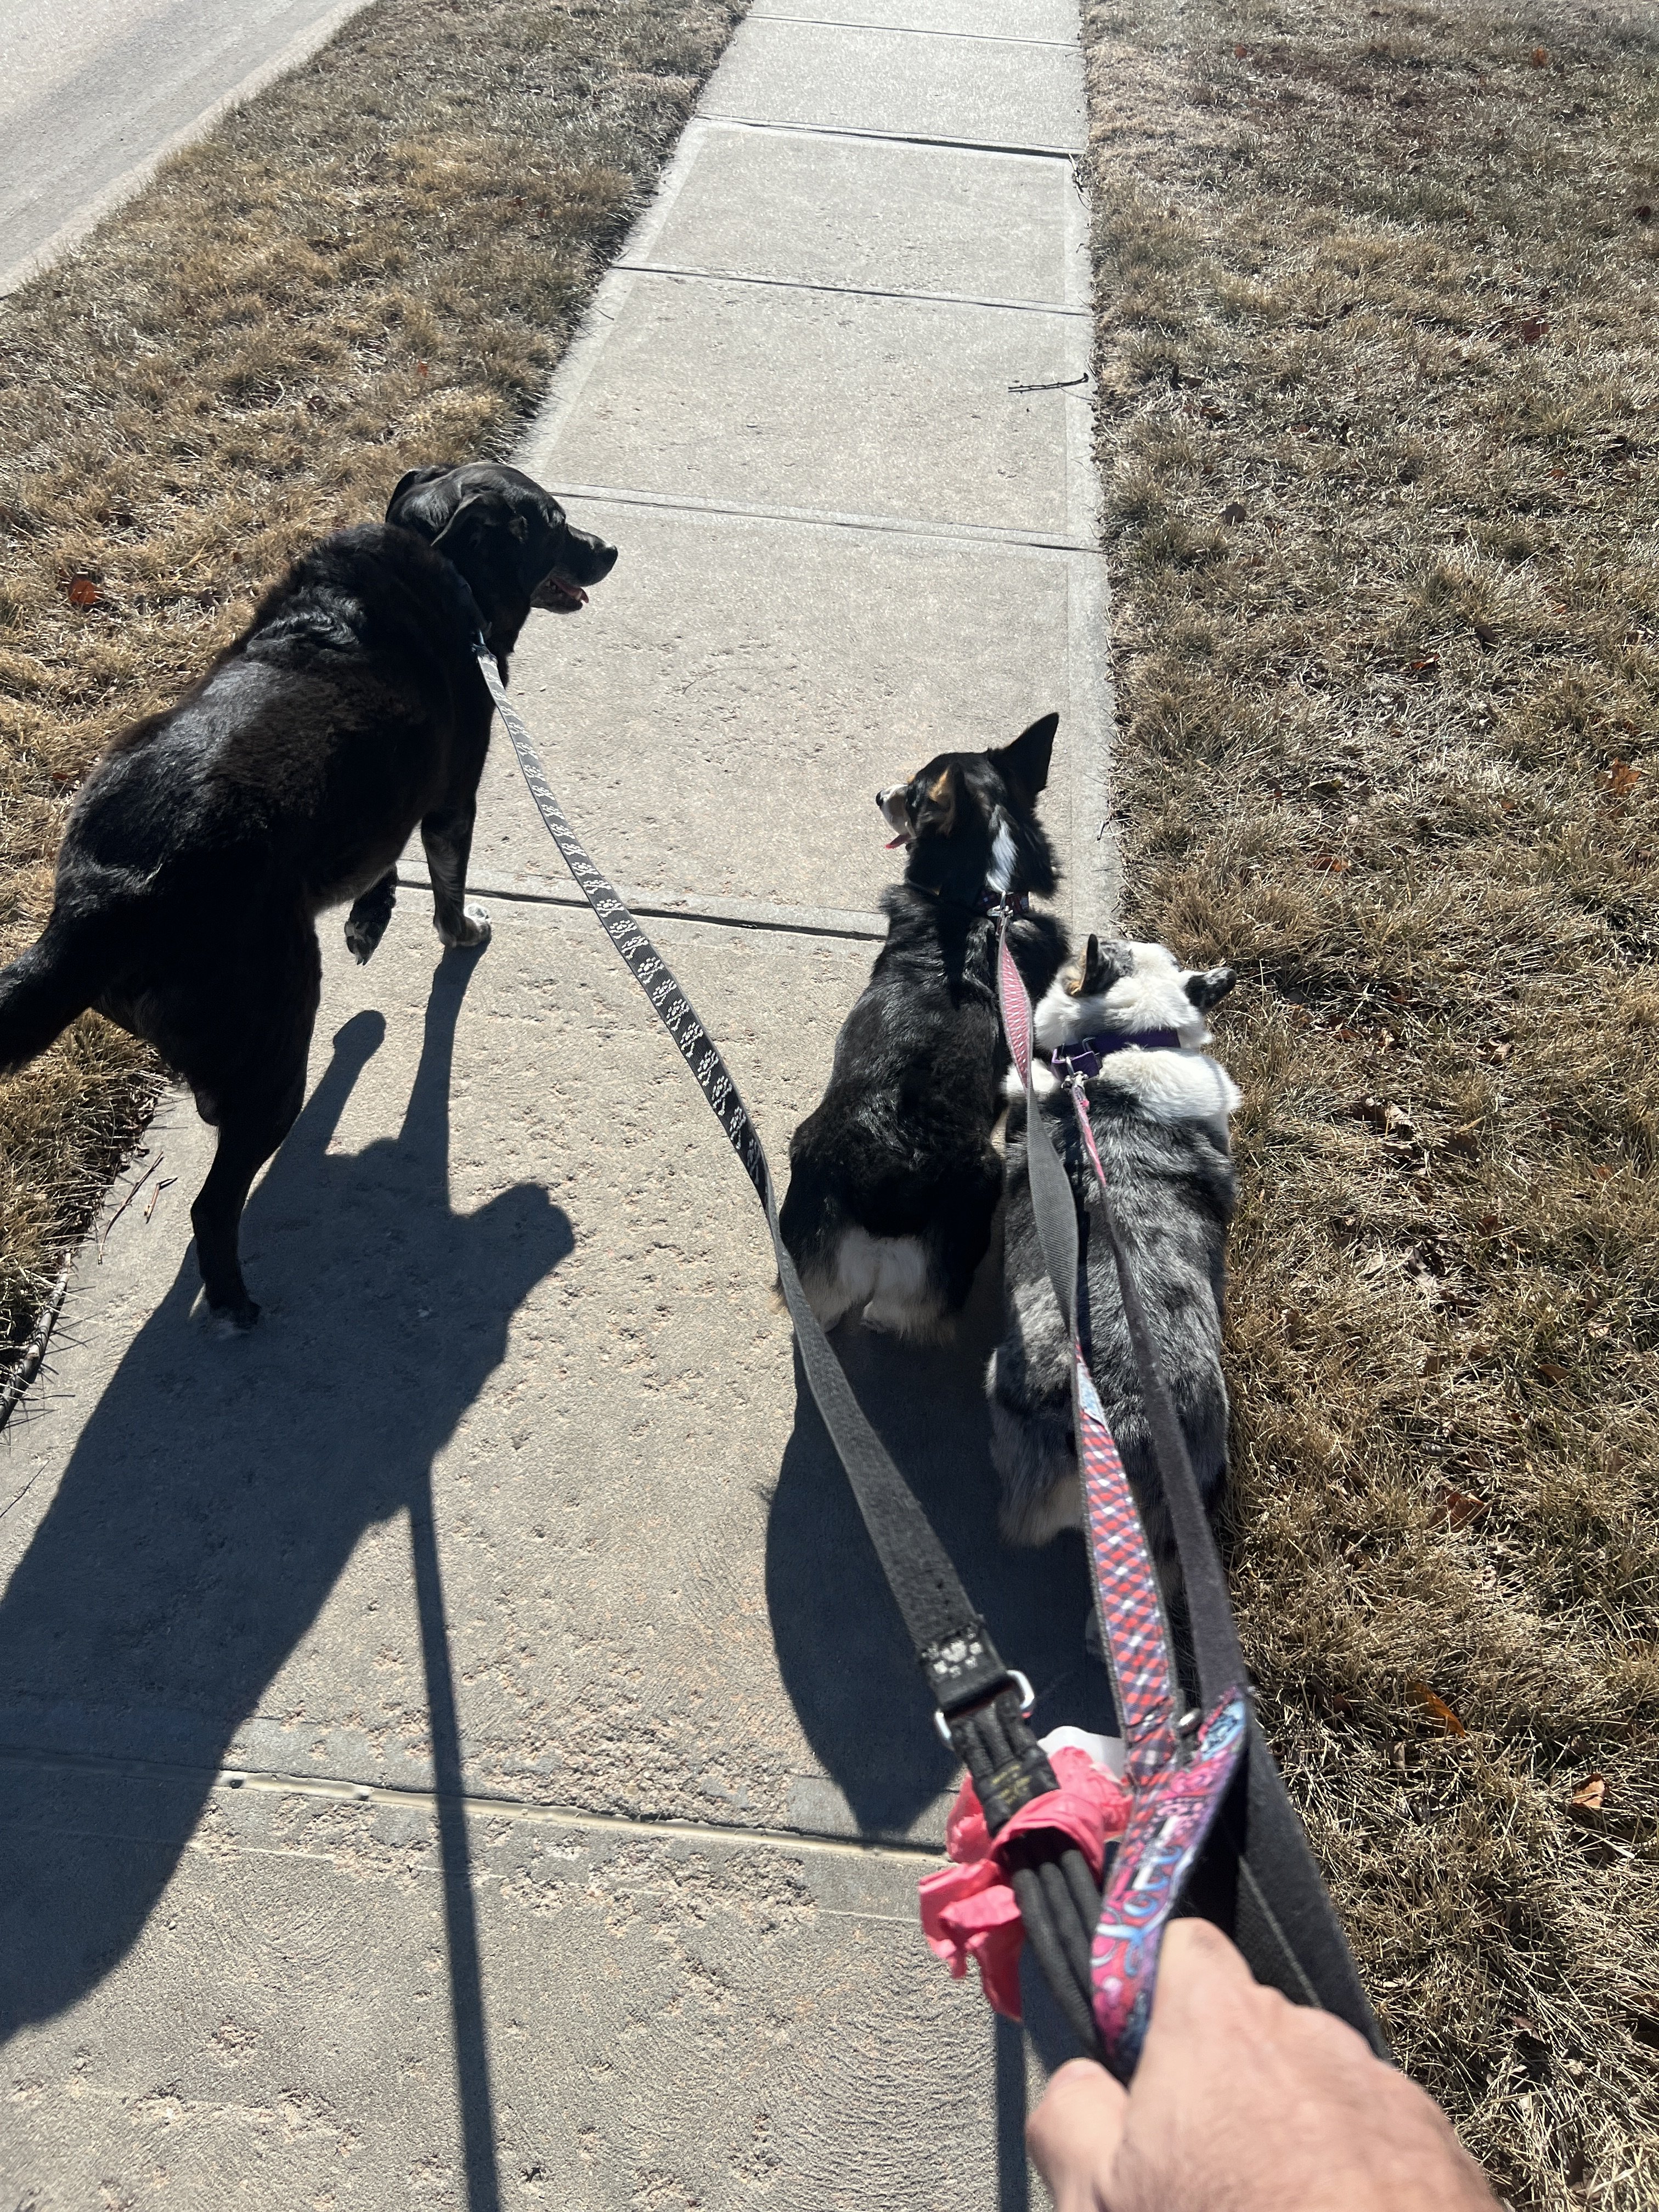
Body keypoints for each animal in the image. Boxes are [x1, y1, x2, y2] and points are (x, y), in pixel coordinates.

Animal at [0, 462, 616, 1330]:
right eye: (553, 524)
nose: (610, 549)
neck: (441, 563)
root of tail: (104, 898)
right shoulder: (450, 798)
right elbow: (447, 882)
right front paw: (458, 930)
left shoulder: (387, 797)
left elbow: (381, 863)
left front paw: (371, 917)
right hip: (276, 1029)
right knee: (214, 1203)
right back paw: (234, 1303)